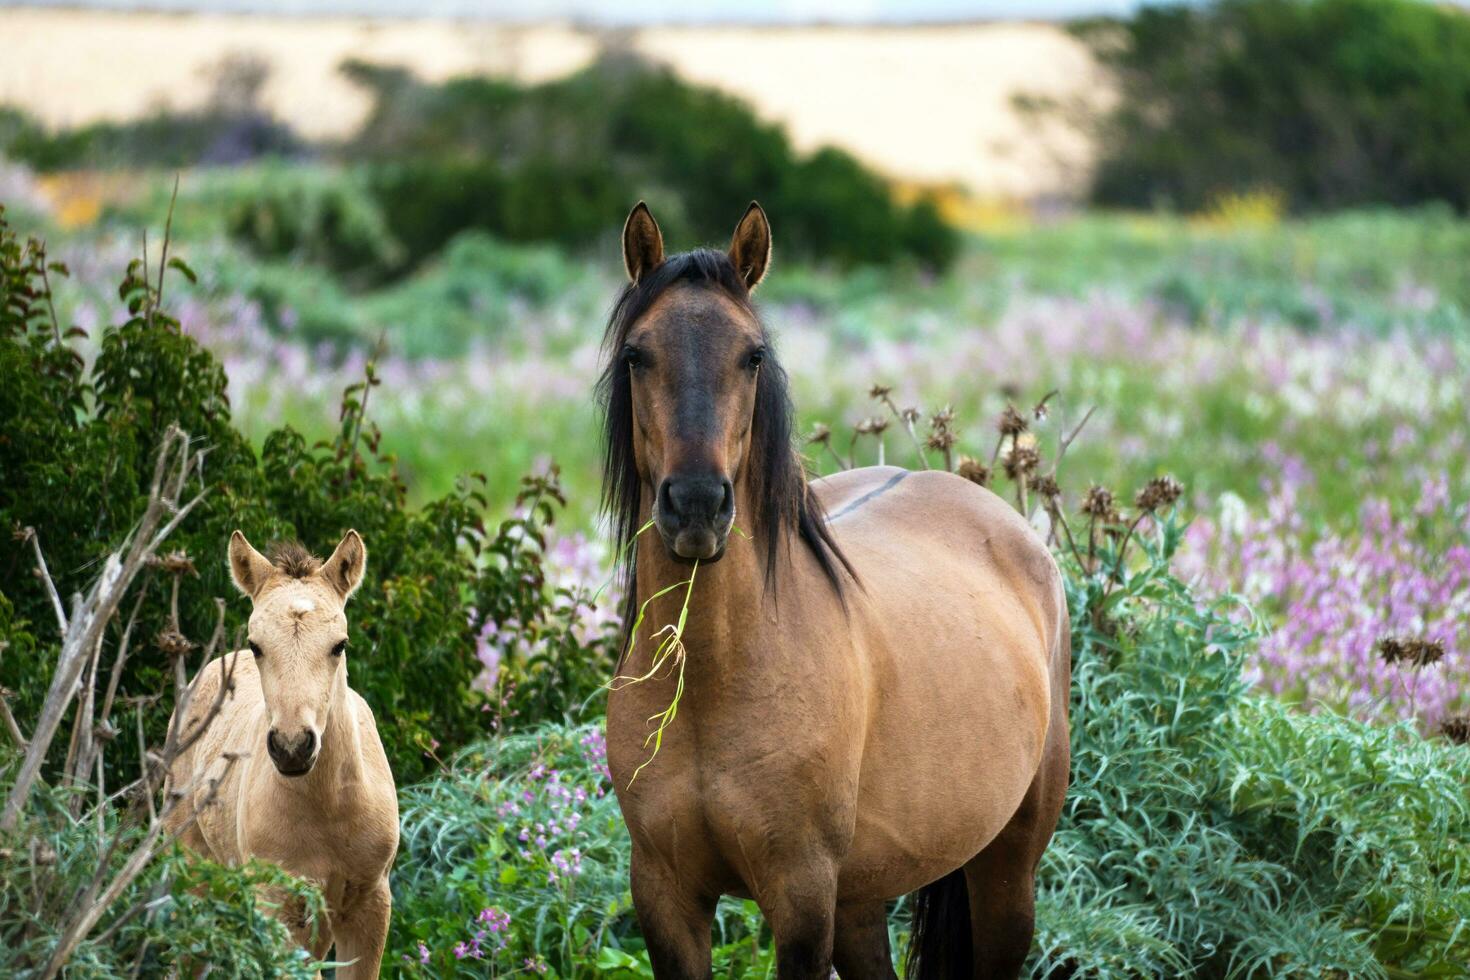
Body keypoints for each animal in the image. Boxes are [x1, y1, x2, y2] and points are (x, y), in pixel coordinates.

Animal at [596, 202, 1070, 975]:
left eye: (753, 355)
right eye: (638, 355)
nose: (696, 505)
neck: (713, 684)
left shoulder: (801, 898)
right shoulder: (665, 896)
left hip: (1006, 872)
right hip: (862, 897)